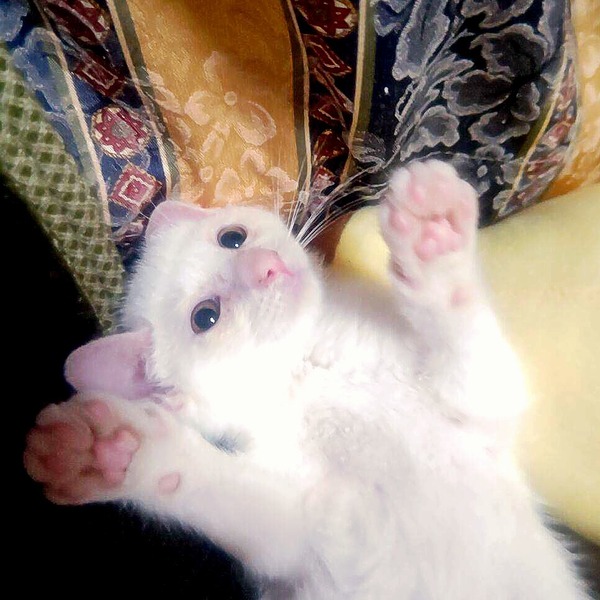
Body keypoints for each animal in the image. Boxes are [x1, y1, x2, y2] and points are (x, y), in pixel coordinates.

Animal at [24, 160, 588, 599]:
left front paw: (434, 237)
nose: (266, 266)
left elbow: (469, 348)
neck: (312, 366)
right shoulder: (304, 535)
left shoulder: (481, 406)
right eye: (206, 317)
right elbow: (227, 495)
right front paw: (109, 448)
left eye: (232, 237)